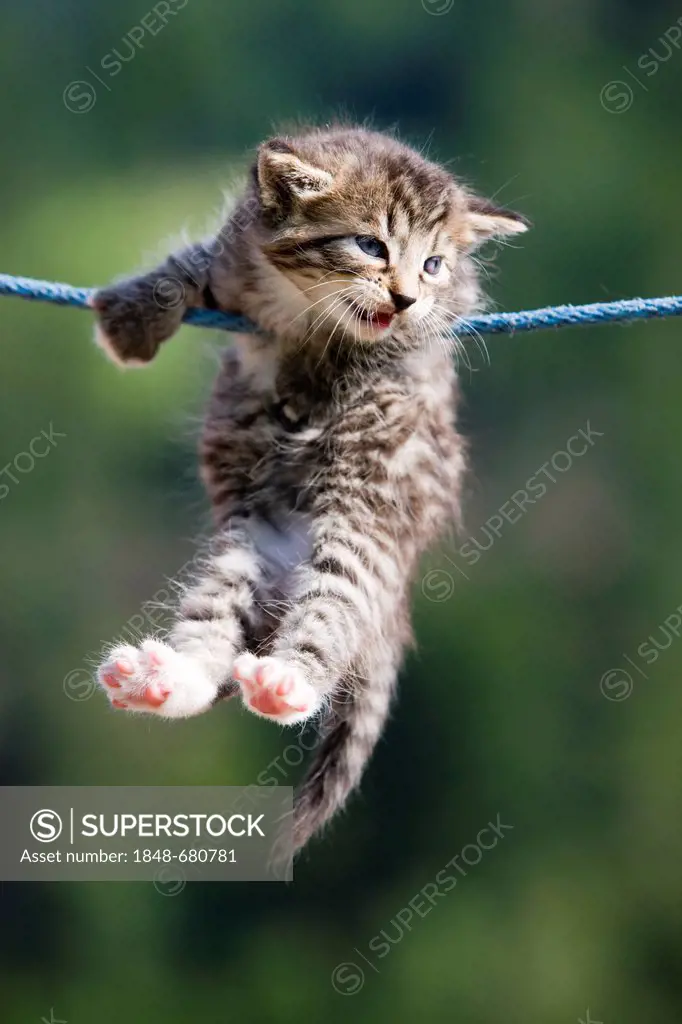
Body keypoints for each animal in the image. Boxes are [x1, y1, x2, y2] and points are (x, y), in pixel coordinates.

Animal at [90, 125, 524, 847]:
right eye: (371, 245)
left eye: (433, 264)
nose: (405, 295)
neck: (303, 304)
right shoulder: (236, 248)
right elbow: (186, 265)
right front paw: (131, 319)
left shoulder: (437, 323)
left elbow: (378, 351)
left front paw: (315, 381)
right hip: (245, 542)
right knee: (214, 639)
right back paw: (163, 681)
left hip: (364, 529)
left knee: (332, 618)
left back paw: (283, 682)